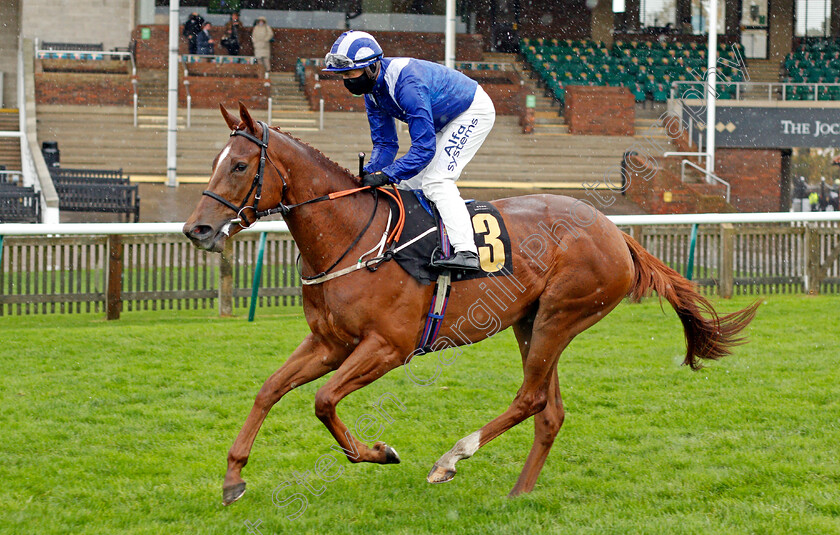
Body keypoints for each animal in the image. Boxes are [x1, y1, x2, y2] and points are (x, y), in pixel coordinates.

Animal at [182, 104, 756, 506]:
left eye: (239, 165)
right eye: (211, 163)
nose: (197, 230)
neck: (352, 236)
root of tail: (618, 233)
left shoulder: (387, 347)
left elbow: (323, 401)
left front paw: (378, 453)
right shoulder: (329, 342)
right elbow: (269, 389)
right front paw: (233, 477)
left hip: (561, 315)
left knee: (530, 399)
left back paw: (451, 459)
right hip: (531, 322)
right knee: (550, 410)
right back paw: (519, 492)